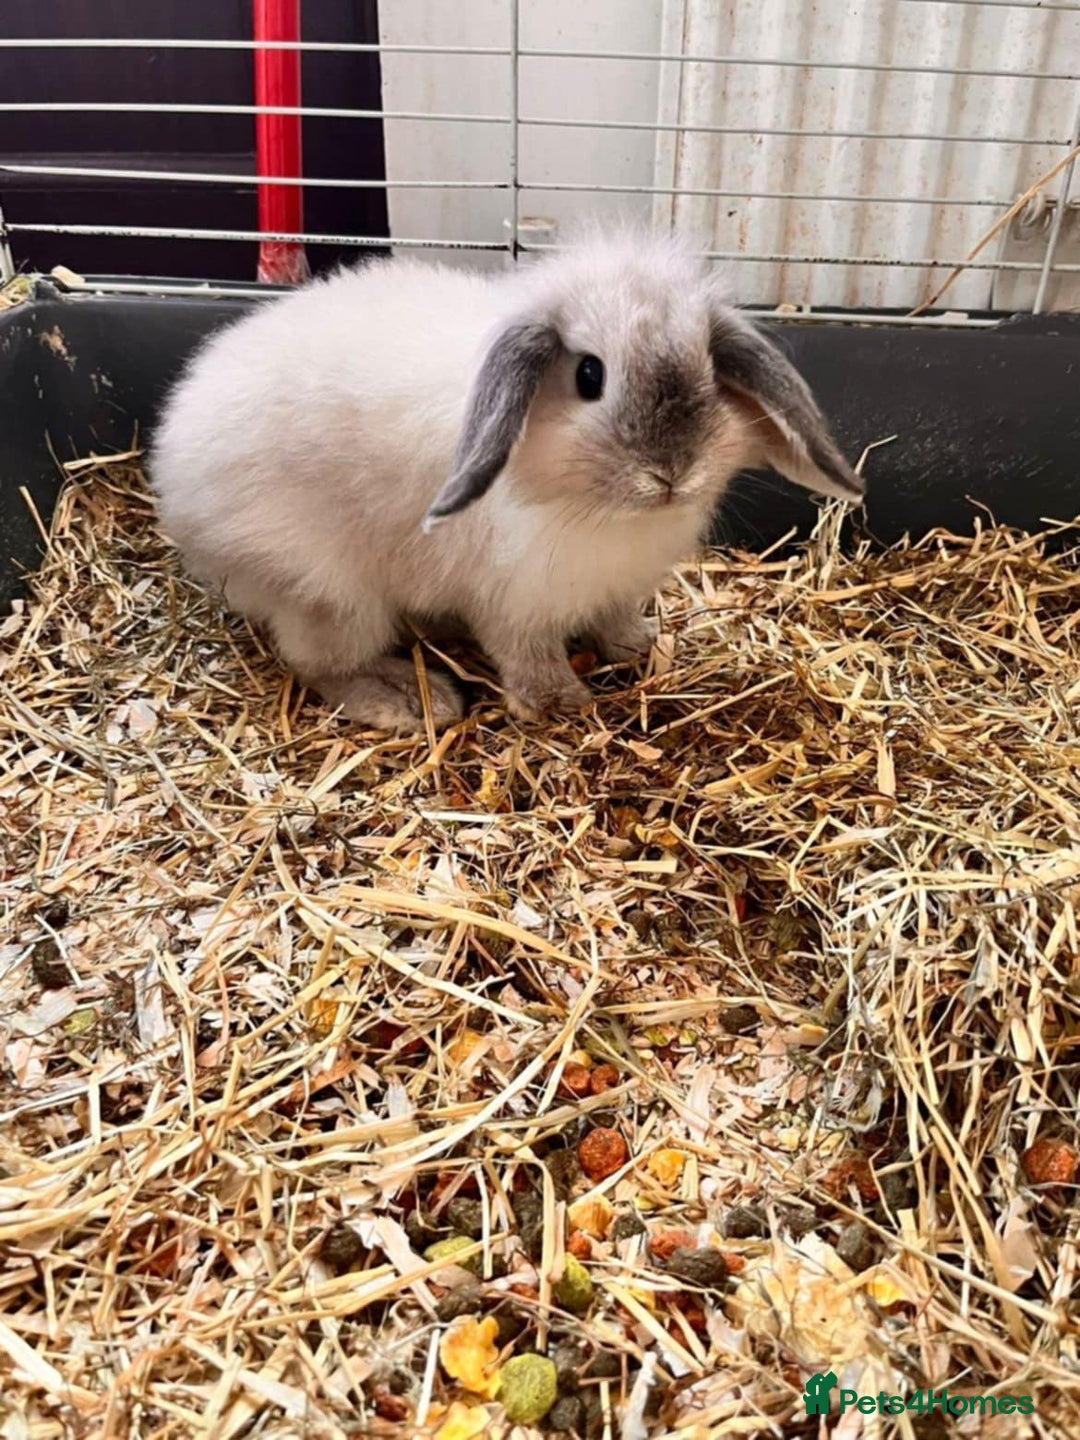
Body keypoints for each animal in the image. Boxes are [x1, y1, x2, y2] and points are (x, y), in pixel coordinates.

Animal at [148, 225, 863, 732]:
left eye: (711, 370)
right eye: (589, 376)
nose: (670, 473)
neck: (603, 511)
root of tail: (171, 466)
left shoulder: (614, 588)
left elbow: (613, 622)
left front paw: (639, 648)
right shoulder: (513, 603)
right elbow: (528, 656)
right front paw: (559, 705)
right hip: (329, 596)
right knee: (318, 664)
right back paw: (413, 700)